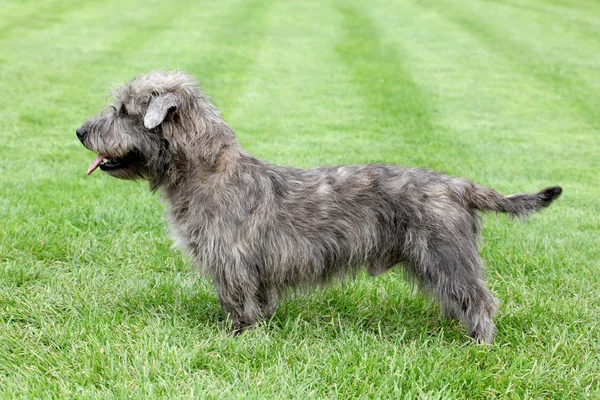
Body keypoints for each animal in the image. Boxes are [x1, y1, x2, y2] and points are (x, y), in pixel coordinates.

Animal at [76, 71, 564, 344]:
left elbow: (237, 301)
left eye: (123, 111)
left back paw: (479, 343)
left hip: (446, 255)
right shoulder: (254, 268)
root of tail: (459, 185)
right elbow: (259, 300)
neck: (206, 171)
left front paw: (237, 338)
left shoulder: (231, 262)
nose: (80, 131)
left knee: (480, 298)